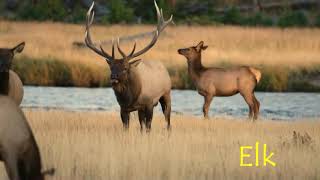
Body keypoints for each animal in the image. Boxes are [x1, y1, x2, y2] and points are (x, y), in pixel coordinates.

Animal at [83, 0, 172, 131]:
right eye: (111, 67)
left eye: (125, 68)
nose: (113, 77)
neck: (131, 98)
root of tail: (164, 67)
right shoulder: (123, 108)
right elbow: (127, 127)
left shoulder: (149, 103)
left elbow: (149, 127)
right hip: (141, 109)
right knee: (142, 124)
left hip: (166, 94)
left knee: (167, 119)